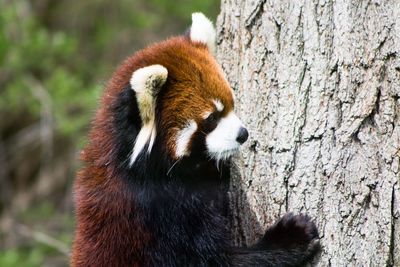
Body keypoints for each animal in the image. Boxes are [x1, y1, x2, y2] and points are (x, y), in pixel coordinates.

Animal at [72, 12, 320, 267]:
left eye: (232, 104)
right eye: (211, 118)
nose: (243, 134)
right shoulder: (159, 218)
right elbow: (214, 259)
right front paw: (291, 239)